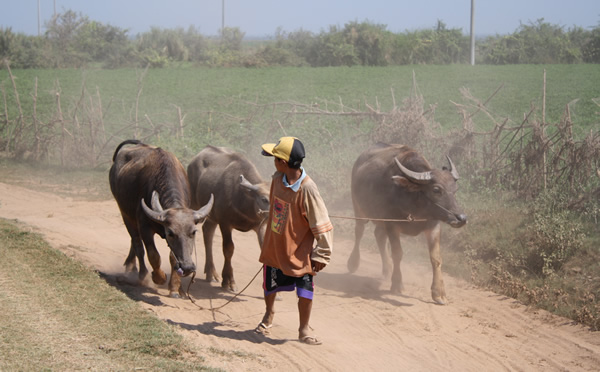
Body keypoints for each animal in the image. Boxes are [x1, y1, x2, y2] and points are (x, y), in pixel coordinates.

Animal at [110, 139, 213, 296]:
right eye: (170, 233)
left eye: (193, 232)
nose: (188, 267)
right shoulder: (145, 227)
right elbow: (153, 255)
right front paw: (159, 277)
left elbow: (173, 258)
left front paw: (175, 288)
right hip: (125, 214)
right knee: (137, 244)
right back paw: (141, 274)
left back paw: (130, 266)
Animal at [186, 144, 268, 292]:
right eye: (264, 199)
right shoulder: (225, 223)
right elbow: (228, 249)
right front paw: (229, 281)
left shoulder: (260, 225)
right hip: (194, 202)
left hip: (211, 214)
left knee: (208, 231)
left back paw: (211, 272)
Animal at [344, 143, 466, 306]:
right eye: (436, 189)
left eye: (455, 189)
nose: (461, 218)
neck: (413, 202)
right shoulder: (392, 225)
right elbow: (397, 253)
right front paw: (397, 284)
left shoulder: (433, 226)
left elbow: (436, 258)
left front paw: (439, 293)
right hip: (358, 207)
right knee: (359, 231)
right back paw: (353, 263)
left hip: (380, 220)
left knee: (379, 236)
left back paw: (387, 270)